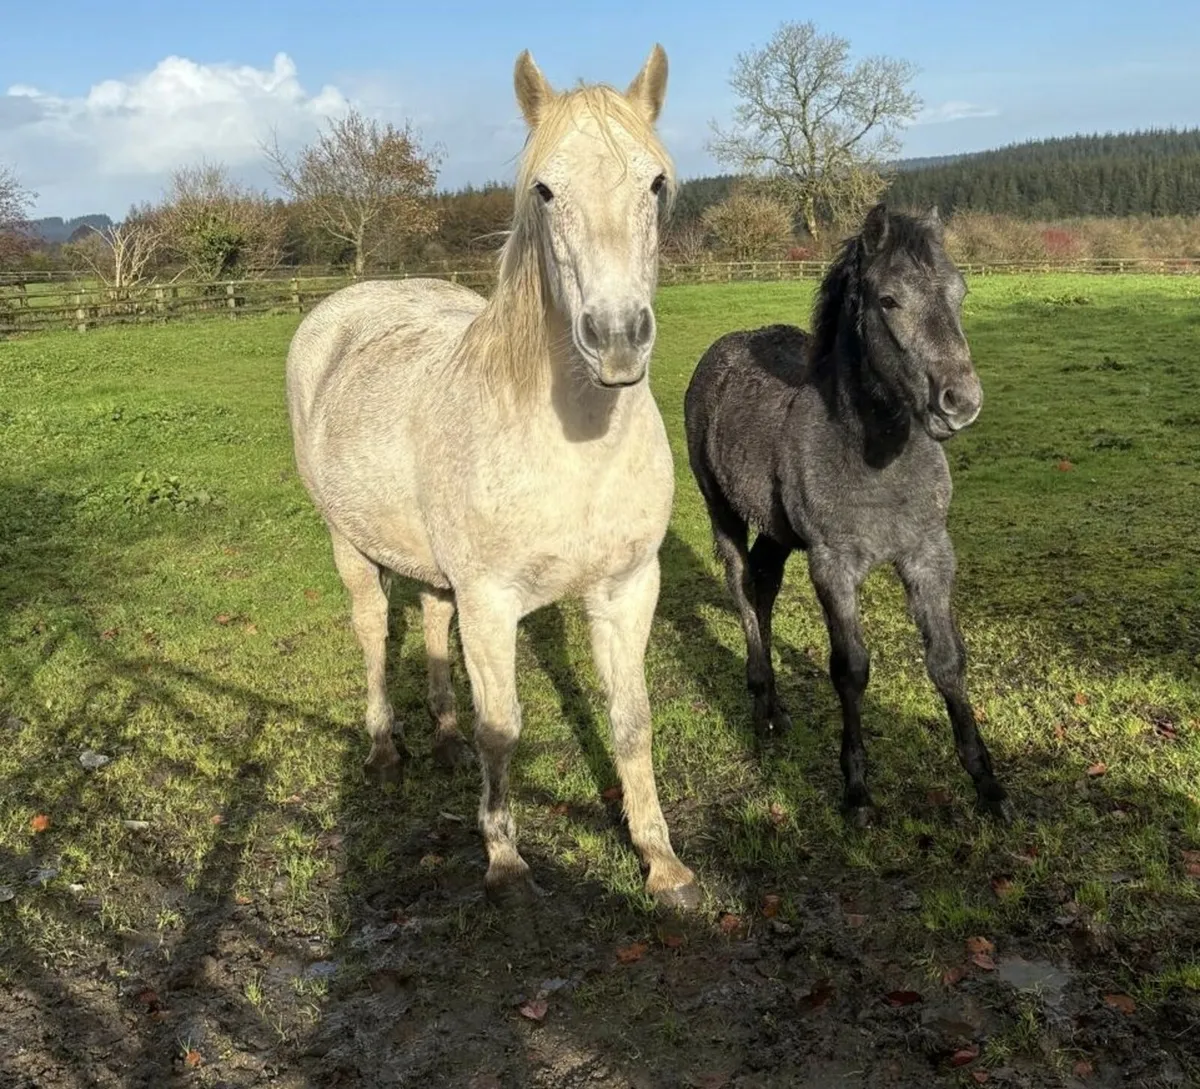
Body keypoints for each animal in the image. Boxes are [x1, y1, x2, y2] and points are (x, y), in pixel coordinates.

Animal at [285, 46, 698, 908]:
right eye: (545, 190)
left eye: (654, 182)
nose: (617, 338)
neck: (575, 449)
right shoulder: (492, 602)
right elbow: (502, 729)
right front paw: (505, 859)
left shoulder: (628, 588)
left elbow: (631, 719)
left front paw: (661, 858)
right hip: (348, 544)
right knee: (373, 627)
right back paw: (385, 746)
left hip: (436, 572)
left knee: (430, 623)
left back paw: (442, 737)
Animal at [683, 204, 1011, 825]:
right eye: (888, 300)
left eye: (960, 290)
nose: (961, 402)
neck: (874, 456)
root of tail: (722, 349)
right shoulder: (833, 566)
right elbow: (851, 669)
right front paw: (856, 791)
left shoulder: (929, 553)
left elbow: (948, 660)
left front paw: (988, 784)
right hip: (722, 509)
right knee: (741, 587)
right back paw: (760, 705)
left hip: (779, 531)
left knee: (763, 584)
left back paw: (776, 708)